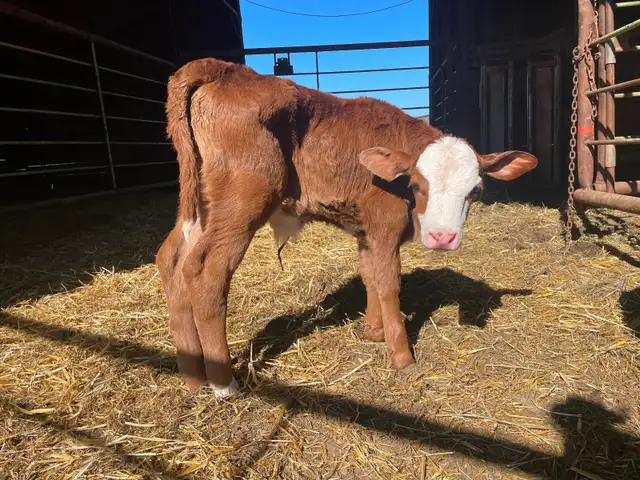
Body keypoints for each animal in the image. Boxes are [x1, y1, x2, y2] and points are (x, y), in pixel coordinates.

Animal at [156, 57, 537, 397]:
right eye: (417, 185)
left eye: (476, 190)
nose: (442, 237)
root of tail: (222, 69)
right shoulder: (384, 226)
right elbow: (389, 284)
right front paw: (402, 356)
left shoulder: (367, 231)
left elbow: (370, 276)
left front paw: (373, 331)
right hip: (242, 201)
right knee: (207, 272)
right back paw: (224, 384)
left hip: (201, 203)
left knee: (171, 259)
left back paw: (193, 378)